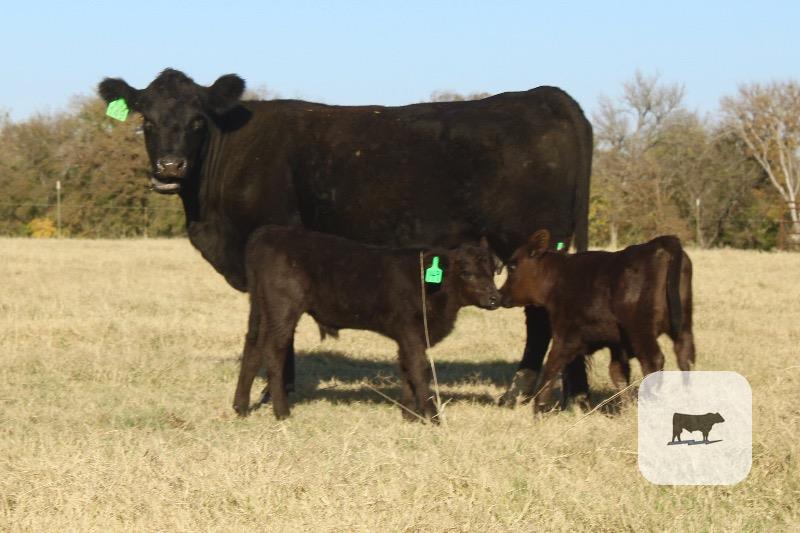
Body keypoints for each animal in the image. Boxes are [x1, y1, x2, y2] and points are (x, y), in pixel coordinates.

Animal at [236, 225, 500, 421]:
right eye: (466, 272)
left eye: (493, 270)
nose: (494, 298)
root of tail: (270, 232)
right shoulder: (411, 331)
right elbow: (419, 368)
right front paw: (431, 416)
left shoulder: (405, 337)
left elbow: (406, 369)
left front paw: (409, 414)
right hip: (284, 309)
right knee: (273, 352)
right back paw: (282, 412)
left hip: (262, 311)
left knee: (253, 348)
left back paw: (241, 407)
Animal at [499, 231, 695, 412]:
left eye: (512, 266)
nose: (500, 295)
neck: (557, 278)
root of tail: (658, 244)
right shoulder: (617, 344)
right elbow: (617, 373)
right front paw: (626, 408)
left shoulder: (566, 335)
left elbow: (552, 366)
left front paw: (539, 407)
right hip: (683, 326)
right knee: (685, 357)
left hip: (641, 330)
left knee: (653, 361)